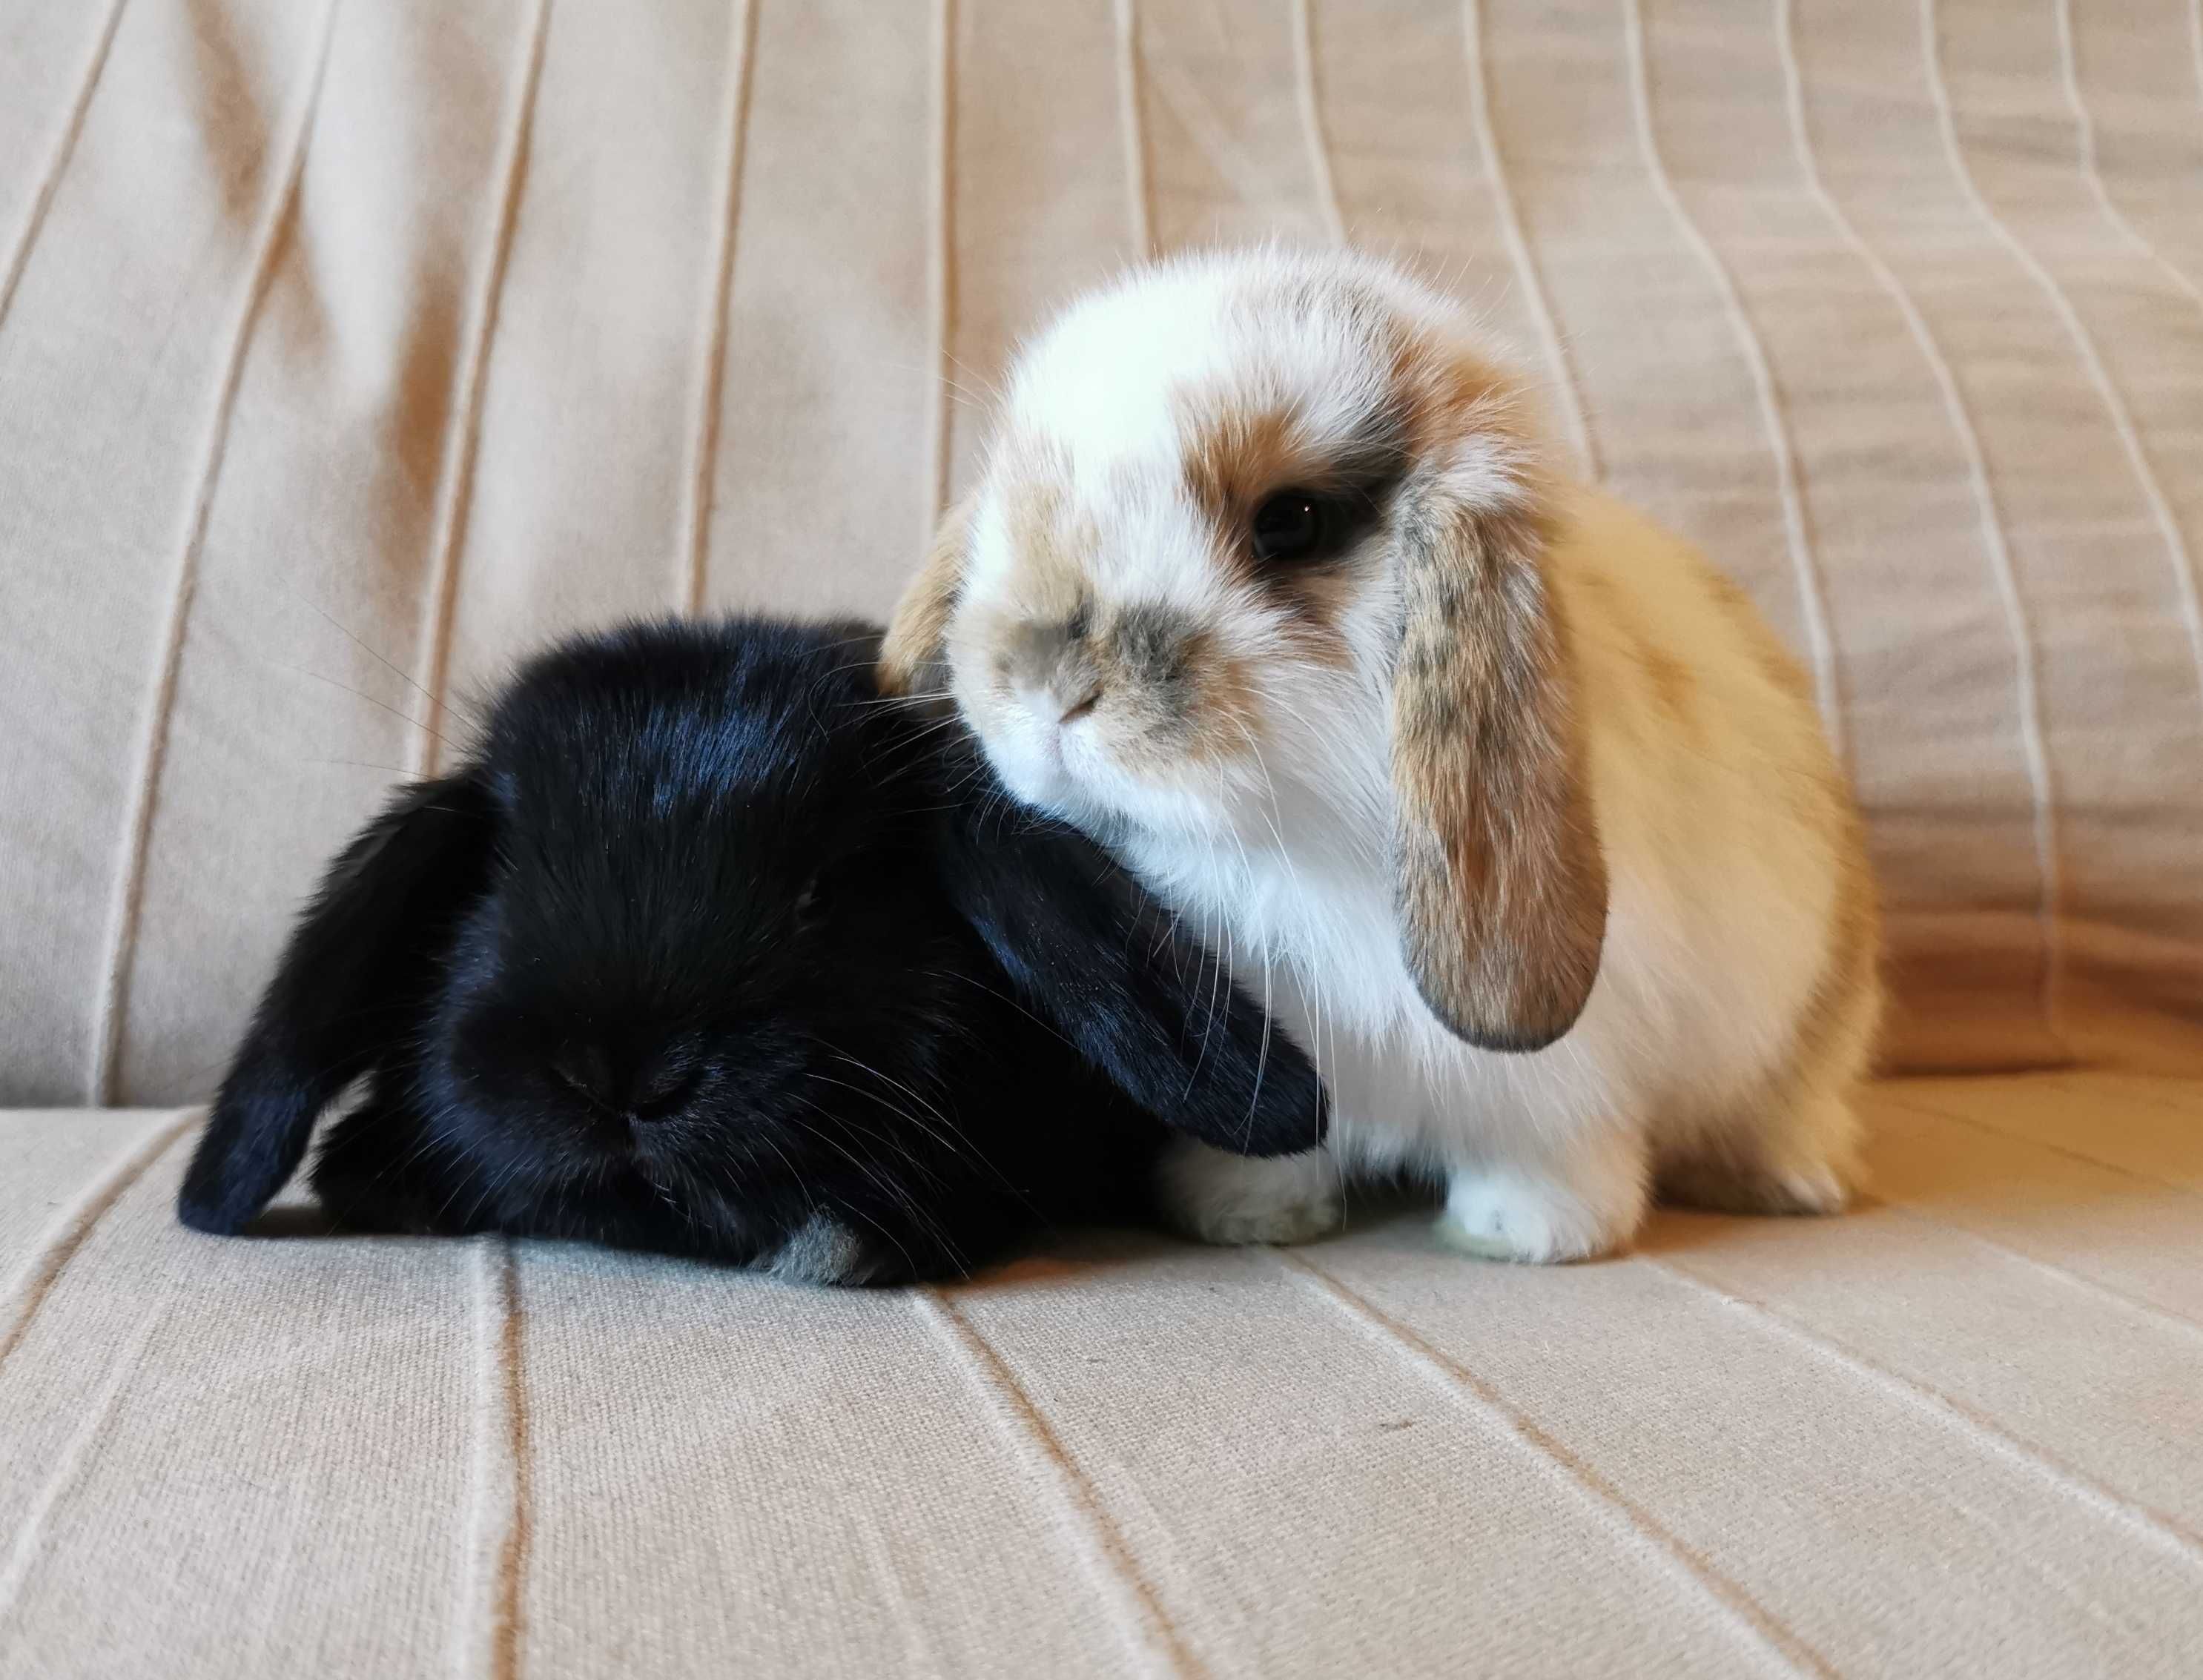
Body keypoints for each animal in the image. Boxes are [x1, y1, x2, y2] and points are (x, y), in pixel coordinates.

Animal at [885, 250, 1886, 1259]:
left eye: (1291, 522)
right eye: (1013, 498)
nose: (1049, 682)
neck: (1284, 839)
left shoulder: (1565, 1079)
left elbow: (1545, 1147)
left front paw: (1527, 1231)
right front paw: (1239, 1213)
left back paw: (1787, 1182)